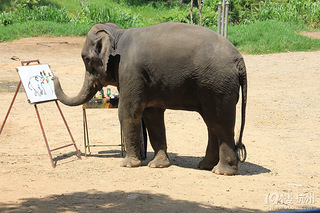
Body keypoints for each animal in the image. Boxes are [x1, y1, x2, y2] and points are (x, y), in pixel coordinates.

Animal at [53, 21, 248, 176]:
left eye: (86, 59)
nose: (54, 76)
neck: (118, 33)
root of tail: (240, 60)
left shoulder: (130, 71)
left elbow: (128, 112)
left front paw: (128, 165)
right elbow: (152, 116)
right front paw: (158, 165)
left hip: (218, 86)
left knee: (220, 123)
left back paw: (222, 172)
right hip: (213, 88)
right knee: (211, 123)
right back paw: (205, 166)